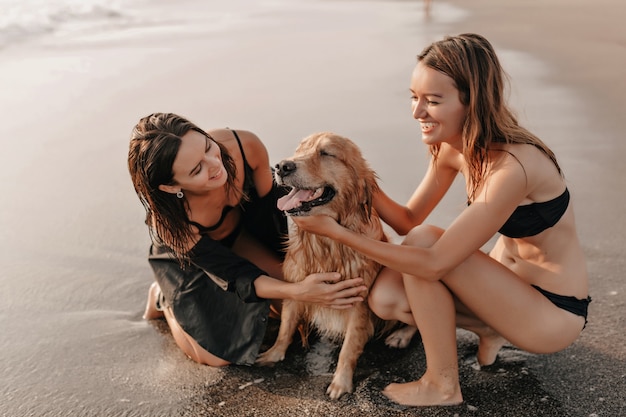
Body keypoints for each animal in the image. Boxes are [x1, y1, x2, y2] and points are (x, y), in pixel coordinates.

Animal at [256, 132, 416, 398]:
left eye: (326, 153)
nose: (282, 166)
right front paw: (273, 354)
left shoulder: (360, 302)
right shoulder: (297, 285)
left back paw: (401, 335)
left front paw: (341, 382)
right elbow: (286, 327)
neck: (327, 244)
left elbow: (349, 347)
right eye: (299, 150)